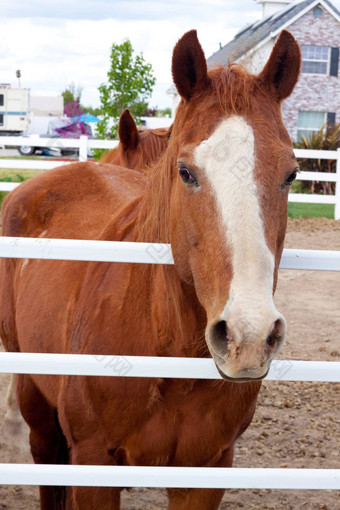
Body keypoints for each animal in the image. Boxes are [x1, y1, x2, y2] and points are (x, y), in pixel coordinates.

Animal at [0, 29, 300, 508]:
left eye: (291, 173)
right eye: (185, 172)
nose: (247, 336)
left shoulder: (207, 471)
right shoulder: (93, 468)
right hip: (36, 403)